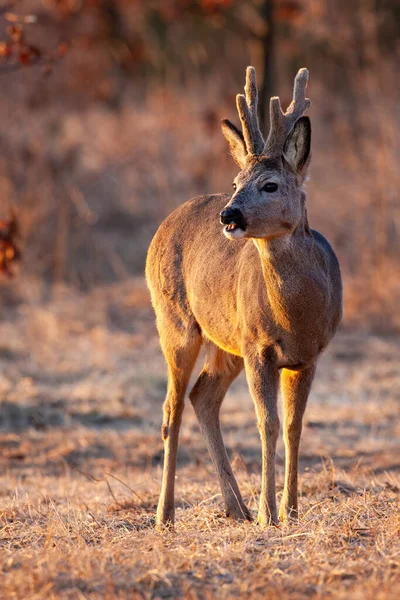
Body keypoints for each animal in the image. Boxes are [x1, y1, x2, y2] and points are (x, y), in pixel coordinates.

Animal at [145, 65, 342, 528]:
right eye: (236, 182)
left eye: (270, 185)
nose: (229, 214)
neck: (296, 316)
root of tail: (165, 223)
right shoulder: (259, 348)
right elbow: (266, 424)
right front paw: (271, 514)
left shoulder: (309, 355)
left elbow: (293, 426)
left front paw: (289, 510)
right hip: (175, 322)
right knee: (171, 408)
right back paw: (165, 514)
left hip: (226, 341)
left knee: (202, 397)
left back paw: (237, 507)